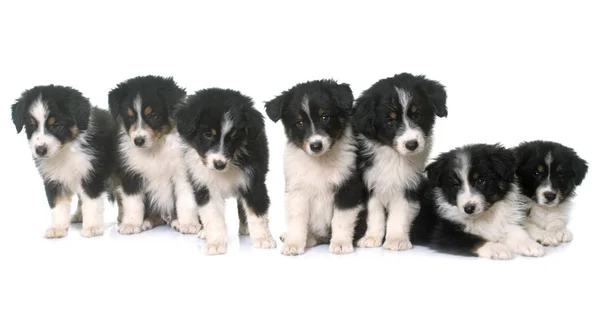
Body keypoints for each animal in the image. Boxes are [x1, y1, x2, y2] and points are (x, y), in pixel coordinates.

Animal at [11, 84, 117, 238]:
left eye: (56, 125)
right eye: (32, 126)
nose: (40, 150)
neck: (65, 150)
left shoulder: (92, 174)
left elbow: (92, 202)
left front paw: (92, 227)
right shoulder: (53, 179)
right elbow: (58, 206)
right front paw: (57, 228)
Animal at [108, 76, 202, 235]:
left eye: (153, 116)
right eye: (130, 117)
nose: (138, 141)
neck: (154, 149)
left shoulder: (182, 173)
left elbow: (186, 200)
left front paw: (189, 224)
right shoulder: (131, 174)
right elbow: (133, 202)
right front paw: (131, 224)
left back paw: (177, 222)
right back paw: (147, 221)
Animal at [173, 88, 276, 254]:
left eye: (233, 137)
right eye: (208, 134)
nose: (219, 164)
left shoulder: (253, 181)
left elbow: (257, 212)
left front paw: (263, 239)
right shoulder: (204, 186)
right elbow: (212, 216)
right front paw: (215, 243)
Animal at [264, 79, 368, 255]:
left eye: (325, 117)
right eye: (299, 123)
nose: (316, 145)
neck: (320, 160)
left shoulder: (348, 186)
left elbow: (341, 218)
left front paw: (340, 243)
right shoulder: (297, 189)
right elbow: (297, 219)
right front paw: (293, 244)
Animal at [354, 73, 448, 250]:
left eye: (417, 114)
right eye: (390, 121)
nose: (412, 145)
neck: (393, 156)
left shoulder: (408, 184)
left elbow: (399, 214)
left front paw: (396, 240)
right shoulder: (369, 182)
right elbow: (374, 213)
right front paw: (371, 238)